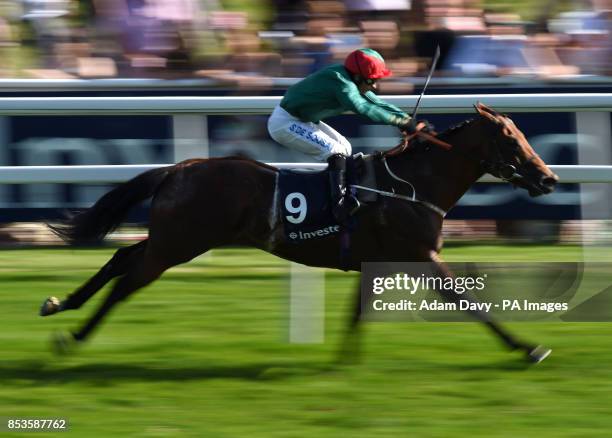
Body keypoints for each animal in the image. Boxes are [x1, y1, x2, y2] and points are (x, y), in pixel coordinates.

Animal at [40, 102, 560, 362]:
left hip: (172, 239)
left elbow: (358, 312)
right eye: (510, 139)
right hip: (179, 244)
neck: (410, 185)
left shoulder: (378, 261)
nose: (549, 178)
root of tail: (178, 167)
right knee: (128, 280)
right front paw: (527, 347)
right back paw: (74, 336)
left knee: (120, 259)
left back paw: (59, 305)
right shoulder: (421, 257)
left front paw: (345, 360)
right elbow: (468, 301)